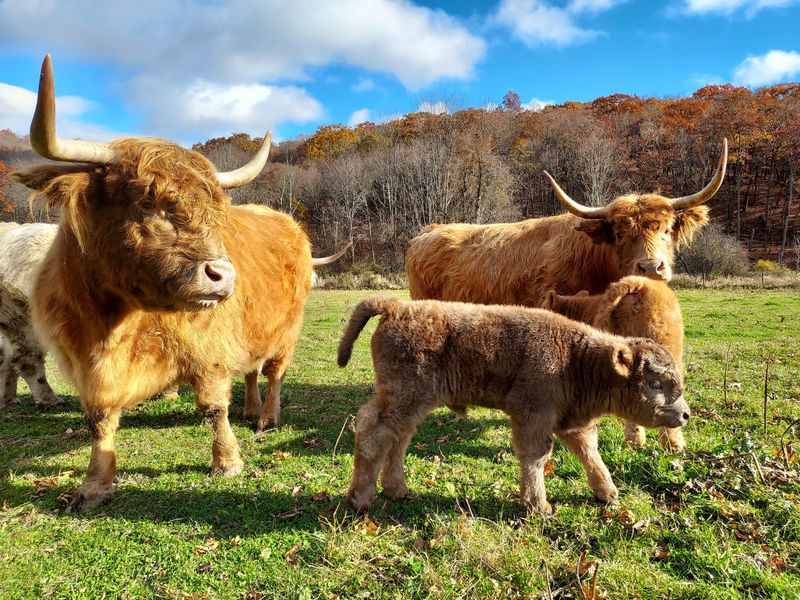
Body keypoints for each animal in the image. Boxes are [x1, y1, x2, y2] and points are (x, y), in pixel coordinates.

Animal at [14, 55, 340, 510]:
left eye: (214, 210)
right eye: (148, 201)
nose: (223, 275)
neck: (114, 326)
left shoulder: (209, 350)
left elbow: (213, 408)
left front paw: (227, 461)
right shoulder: (84, 364)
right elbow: (99, 421)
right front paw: (95, 485)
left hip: (286, 331)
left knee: (273, 372)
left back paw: (267, 419)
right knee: (251, 372)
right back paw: (250, 410)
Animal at [336, 298, 688, 512]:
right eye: (656, 382)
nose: (685, 414)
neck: (576, 359)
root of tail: (397, 306)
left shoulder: (572, 419)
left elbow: (589, 452)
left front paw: (607, 492)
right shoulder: (532, 414)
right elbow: (536, 455)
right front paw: (537, 505)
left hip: (411, 401)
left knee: (397, 437)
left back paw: (396, 488)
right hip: (406, 396)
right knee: (373, 432)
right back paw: (361, 498)